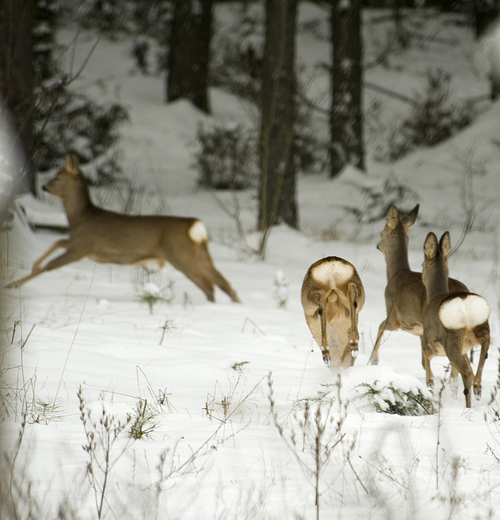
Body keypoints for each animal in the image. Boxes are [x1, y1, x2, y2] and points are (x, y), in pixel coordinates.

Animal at [6, 153, 241, 304]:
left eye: (58, 177)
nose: (44, 186)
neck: (81, 218)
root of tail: (195, 225)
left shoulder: (82, 246)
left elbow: (50, 266)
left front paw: (13, 285)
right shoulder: (78, 242)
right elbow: (56, 242)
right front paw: (32, 266)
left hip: (180, 254)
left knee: (208, 285)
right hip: (199, 252)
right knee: (224, 283)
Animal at [368, 204, 468, 366]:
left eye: (381, 232)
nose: (377, 245)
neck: (396, 273)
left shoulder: (394, 315)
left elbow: (380, 326)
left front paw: (374, 360)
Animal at [420, 231, 490, 406]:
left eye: (422, 264)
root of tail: (464, 303)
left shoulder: (428, 341)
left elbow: (427, 362)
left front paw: (429, 383)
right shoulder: (464, 348)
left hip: (451, 337)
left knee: (466, 372)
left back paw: (469, 403)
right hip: (479, 327)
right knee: (484, 349)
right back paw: (478, 388)